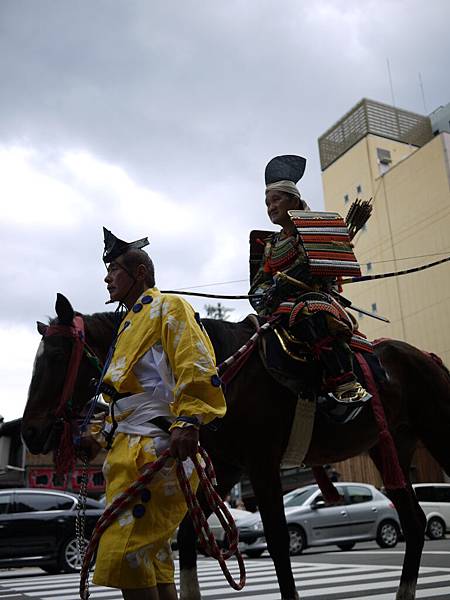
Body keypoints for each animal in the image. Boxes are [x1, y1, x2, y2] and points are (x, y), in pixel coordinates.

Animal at [22, 296, 450, 600]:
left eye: (57, 357)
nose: (31, 432)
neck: (213, 377)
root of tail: (427, 357)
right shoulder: (227, 467)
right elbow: (189, 536)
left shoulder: (261, 464)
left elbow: (277, 541)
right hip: (389, 447)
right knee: (414, 522)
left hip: (436, 431)